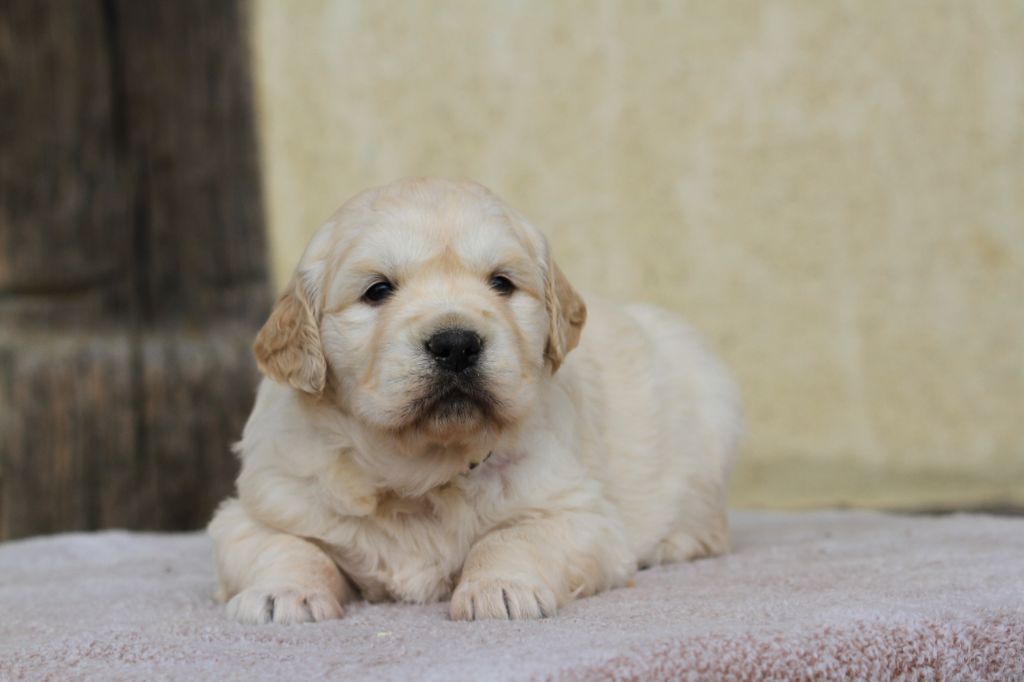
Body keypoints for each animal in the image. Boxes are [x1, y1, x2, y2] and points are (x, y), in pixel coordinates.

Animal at [207, 176, 741, 622]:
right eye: (377, 290)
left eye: (502, 282)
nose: (456, 344)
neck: (419, 473)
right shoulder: (257, 507)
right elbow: (287, 546)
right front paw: (282, 594)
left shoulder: (579, 512)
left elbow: (512, 535)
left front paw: (499, 589)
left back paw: (676, 542)